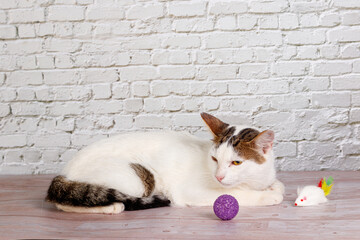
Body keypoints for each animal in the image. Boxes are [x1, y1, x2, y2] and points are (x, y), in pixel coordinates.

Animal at [46, 112, 284, 214]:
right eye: (215, 159)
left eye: (236, 162)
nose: (219, 176)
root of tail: (63, 173)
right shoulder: (192, 190)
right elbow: (235, 195)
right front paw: (268, 195)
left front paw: (274, 186)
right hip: (138, 178)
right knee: (64, 202)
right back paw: (112, 206)